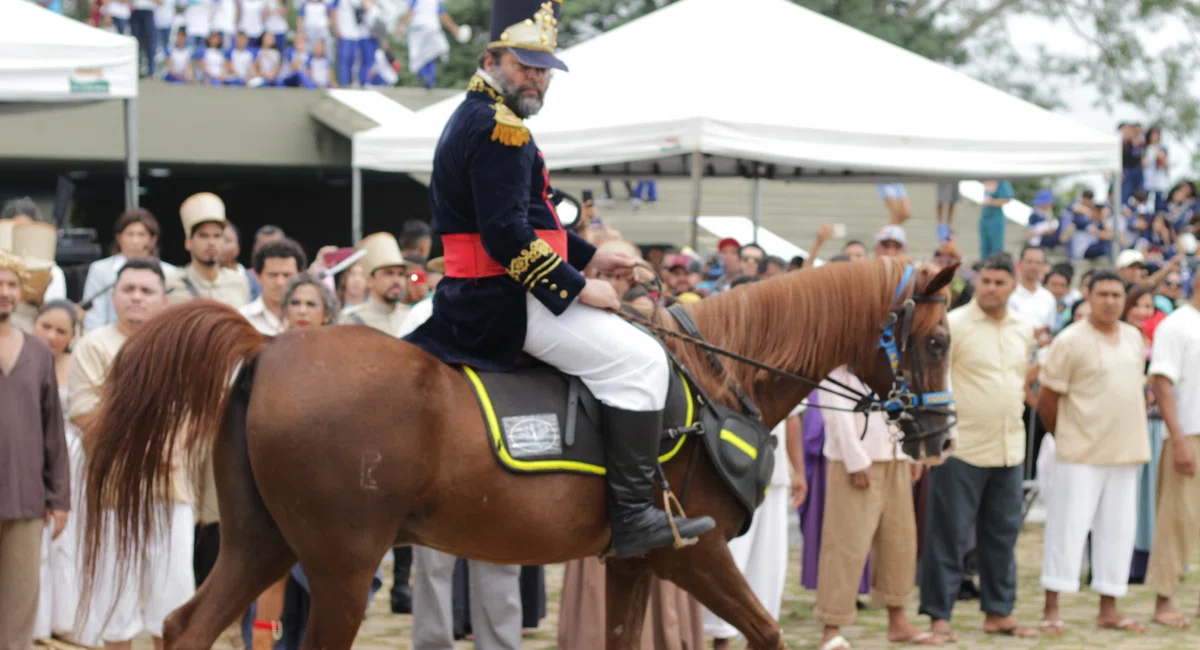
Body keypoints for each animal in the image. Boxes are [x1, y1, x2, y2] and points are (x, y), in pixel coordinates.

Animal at [79, 257, 960, 647]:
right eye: (939, 340)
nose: (942, 436)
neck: (720, 379)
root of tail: (269, 346)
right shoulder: (692, 554)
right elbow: (768, 632)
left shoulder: (633, 561)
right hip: (339, 565)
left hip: (261, 542)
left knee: (186, 626)